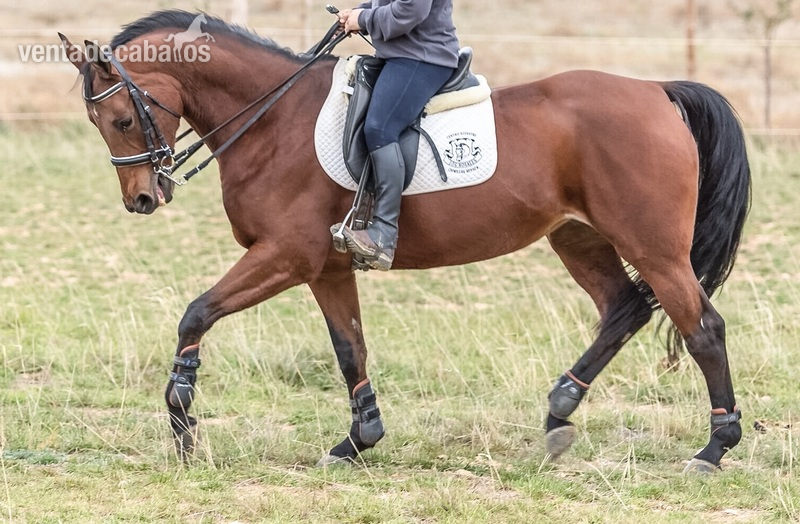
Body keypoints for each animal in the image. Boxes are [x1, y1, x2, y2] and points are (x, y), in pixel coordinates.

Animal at [59, 10, 751, 473]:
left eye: (121, 118)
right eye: (98, 122)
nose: (142, 198)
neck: (272, 119)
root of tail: (655, 91)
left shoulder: (285, 255)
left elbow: (196, 313)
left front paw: (182, 421)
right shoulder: (326, 267)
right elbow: (350, 349)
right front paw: (357, 440)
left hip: (654, 247)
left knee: (703, 328)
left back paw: (714, 447)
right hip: (578, 238)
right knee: (621, 309)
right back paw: (559, 413)